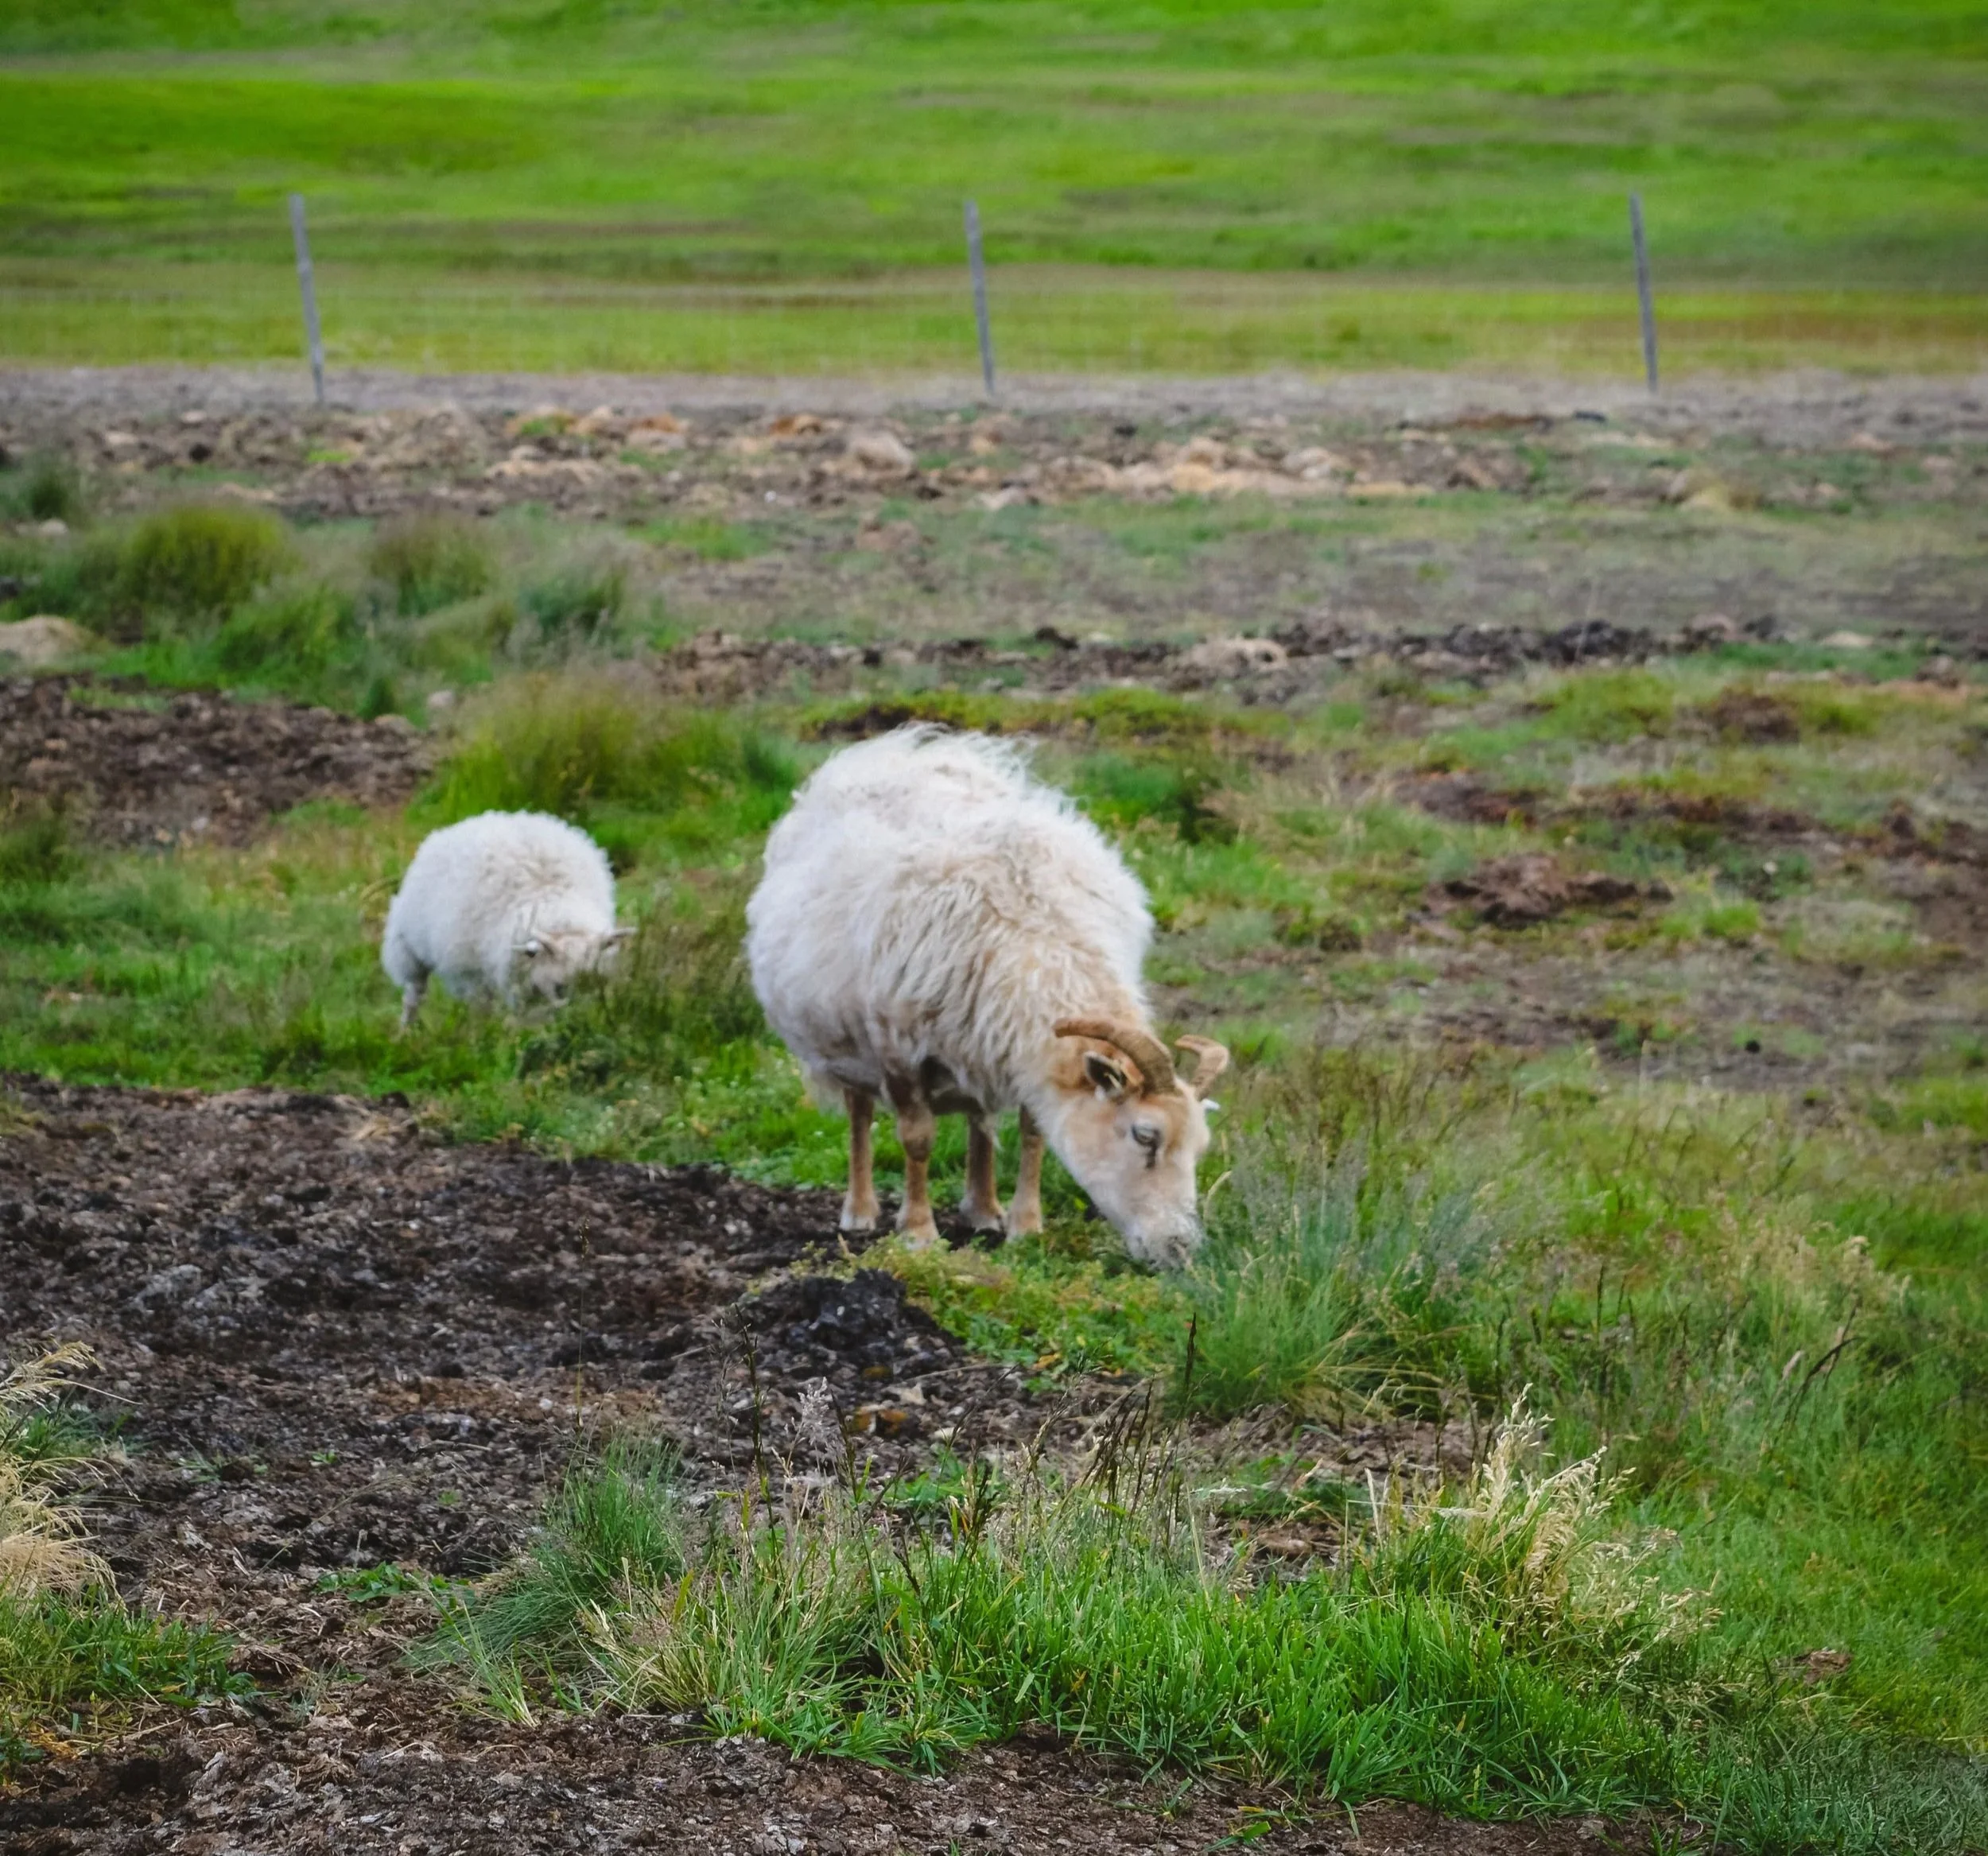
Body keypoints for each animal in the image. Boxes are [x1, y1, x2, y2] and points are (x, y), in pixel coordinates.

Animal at [381, 811, 628, 1028]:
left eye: (596, 986)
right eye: (560, 987)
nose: (579, 1021)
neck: (551, 900)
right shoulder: (471, 975)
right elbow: (482, 1014)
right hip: (408, 950)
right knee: (414, 994)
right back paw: (406, 1032)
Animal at [745, 726, 1228, 1266]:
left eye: (1200, 1149)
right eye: (1145, 1135)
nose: (1180, 1250)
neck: (1041, 944)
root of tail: (895, 751)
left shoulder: (1022, 1050)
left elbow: (1033, 1134)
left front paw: (1026, 1226)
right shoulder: (897, 1052)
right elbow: (917, 1140)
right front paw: (918, 1233)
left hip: (975, 1039)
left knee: (980, 1120)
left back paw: (982, 1207)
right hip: (849, 1037)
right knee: (859, 1112)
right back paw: (862, 1209)